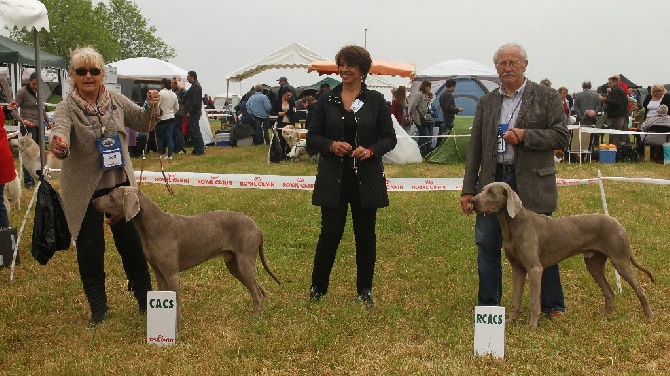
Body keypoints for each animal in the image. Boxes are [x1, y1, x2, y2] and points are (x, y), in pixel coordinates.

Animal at [91, 187, 278, 318]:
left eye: (111, 196)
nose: (93, 201)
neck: (153, 228)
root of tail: (257, 227)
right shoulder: (159, 273)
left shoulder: (172, 274)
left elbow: (176, 300)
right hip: (234, 265)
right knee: (259, 290)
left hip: (244, 262)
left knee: (257, 293)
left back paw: (254, 318)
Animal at [470, 182, 652, 326]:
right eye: (483, 189)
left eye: (491, 192)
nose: (472, 201)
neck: (512, 225)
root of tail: (619, 224)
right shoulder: (518, 269)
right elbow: (516, 299)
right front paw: (509, 321)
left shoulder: (535, 269)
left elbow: (534, 302)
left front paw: (532, 326)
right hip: (593, 264)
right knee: (609, 292)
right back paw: (605, 317)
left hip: (620, 261)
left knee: (641, 289)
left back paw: (648, 316)